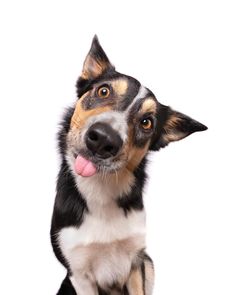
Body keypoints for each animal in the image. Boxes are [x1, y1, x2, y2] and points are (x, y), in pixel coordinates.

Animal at [50, 35, 207, 294]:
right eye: (103, 91)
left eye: (146, 122)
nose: (103, 139)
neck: (102, 188)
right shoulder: (79, 274)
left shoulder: (136, 261)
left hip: (149, 263)